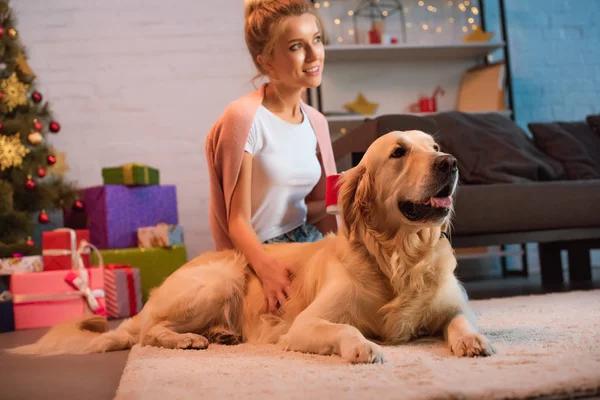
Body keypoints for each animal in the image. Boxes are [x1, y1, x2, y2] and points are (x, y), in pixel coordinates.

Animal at [9, 130, 494, 362]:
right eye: (398, 152)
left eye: (434, 145)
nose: (450, 163)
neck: (399, 257)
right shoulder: (306, 324)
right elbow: (346, 329)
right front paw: (364, 347)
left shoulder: (453, 304)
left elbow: (460, 320)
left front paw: (474, 341)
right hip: (218, 280)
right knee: (147, 333)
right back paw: (189, 339)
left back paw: (220, 333)